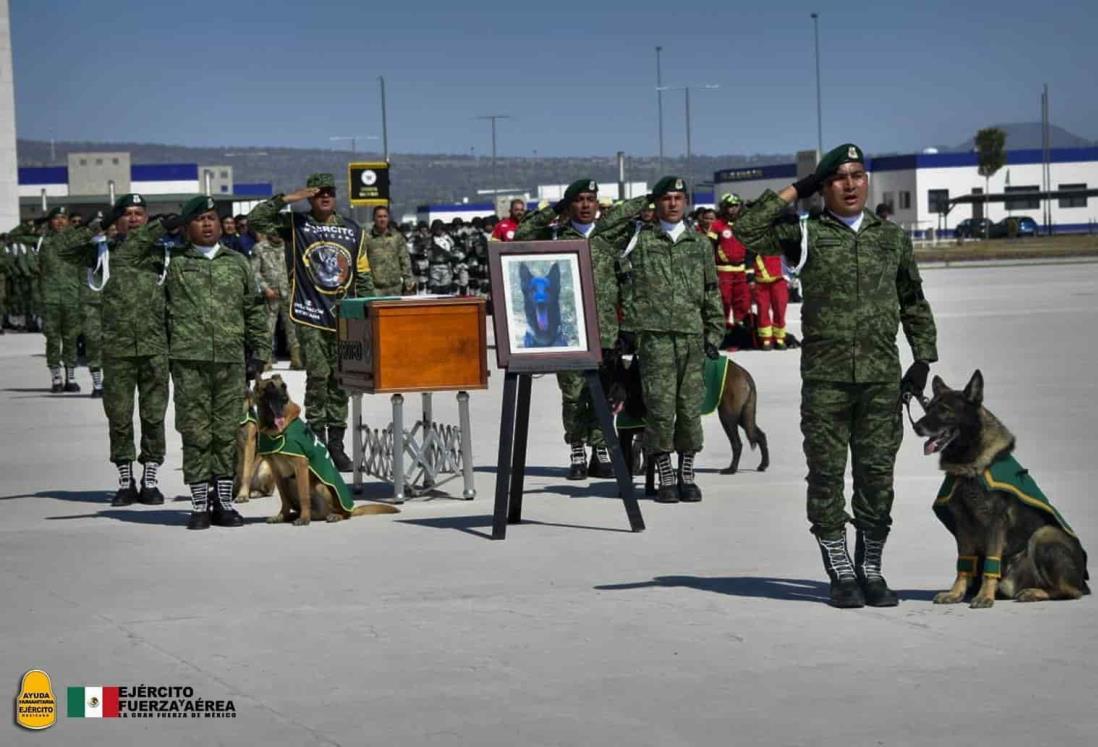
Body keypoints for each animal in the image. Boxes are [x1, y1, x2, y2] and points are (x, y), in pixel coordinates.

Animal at [252, 373, 399, 525]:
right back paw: (294, 515)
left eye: (284, 387)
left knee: (340, 513)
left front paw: (304, 519)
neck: (274, 429)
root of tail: (351, 509)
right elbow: (284, 499)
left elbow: (304, 496)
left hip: (320, 487)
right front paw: (282, 516)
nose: (284, 399)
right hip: (290, 484)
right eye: (270, 387)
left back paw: (332, 515)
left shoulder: (301, 465)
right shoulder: (277, 472)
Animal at [913, 371, 1084, 610]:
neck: (970, 467)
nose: (916, 427)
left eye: (945, 410)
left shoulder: (995, 523)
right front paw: (956, 594)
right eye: (928, 409)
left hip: (1045, 534)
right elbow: (963, 564)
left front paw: (985, 596)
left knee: (1072, 591)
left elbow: (989, 564)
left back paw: (1033, 592)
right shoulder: (962, 524)